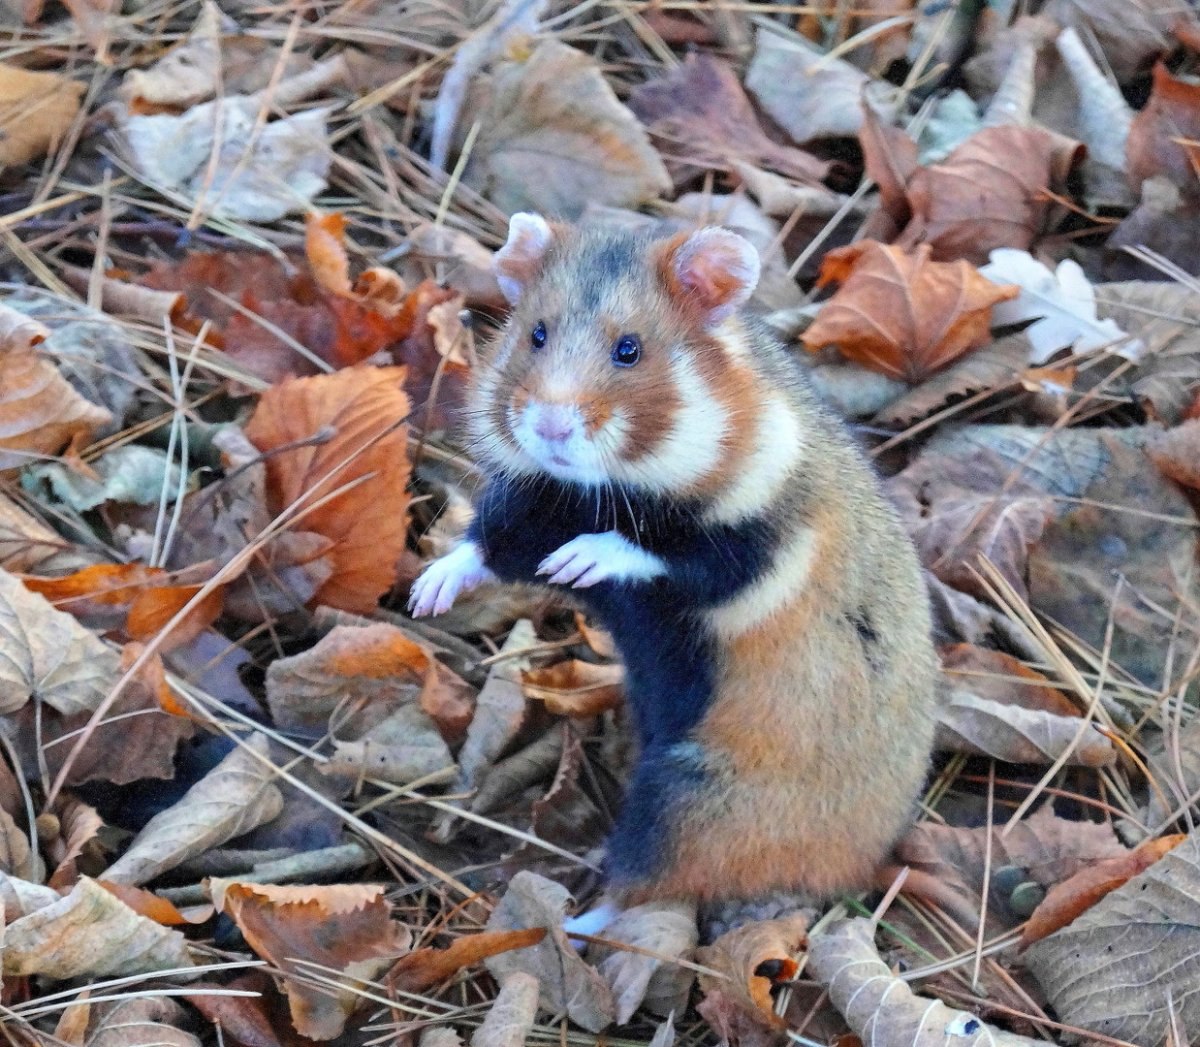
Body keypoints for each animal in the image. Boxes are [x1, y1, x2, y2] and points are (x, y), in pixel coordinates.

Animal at [408, 214, 940, 917]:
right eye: (536, 333)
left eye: (629, 350)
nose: (550, 428)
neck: (610, 485)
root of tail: (864, 866)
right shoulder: (538, 504)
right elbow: (493, 547)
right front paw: (426, 592)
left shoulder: (757, 547)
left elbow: (665, 552)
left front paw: (580, 560)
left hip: (690, 802)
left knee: (650, 887)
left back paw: (579, 916)